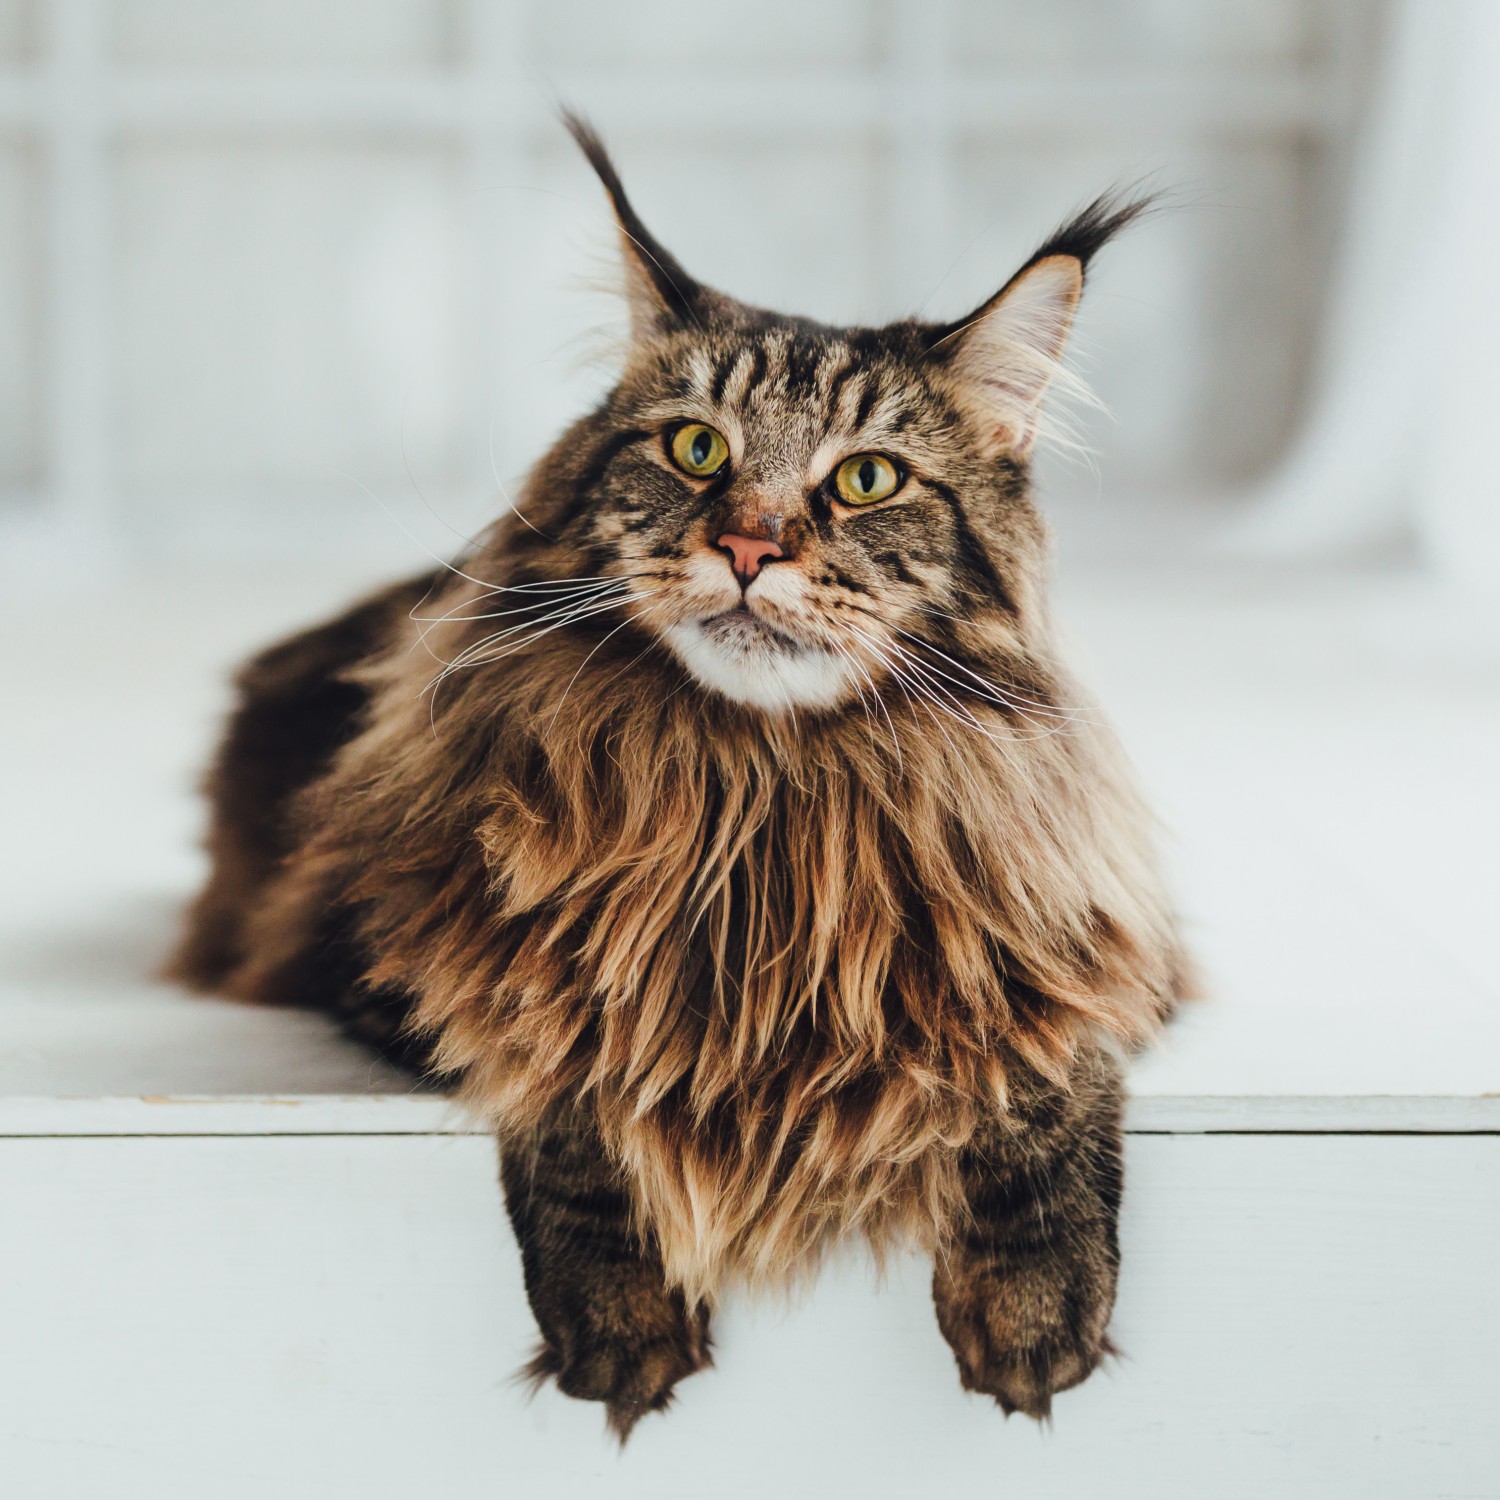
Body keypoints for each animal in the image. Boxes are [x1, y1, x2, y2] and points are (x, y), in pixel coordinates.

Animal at [170, 111, 1188, 1434]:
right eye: (697, 448)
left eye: (867, 478)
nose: (749, 545)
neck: (761, 793)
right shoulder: (418, 952)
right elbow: (579, 1063)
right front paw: (619, 1317)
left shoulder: (1100, 944)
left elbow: (1042, 1069)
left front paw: (1034, 1300)